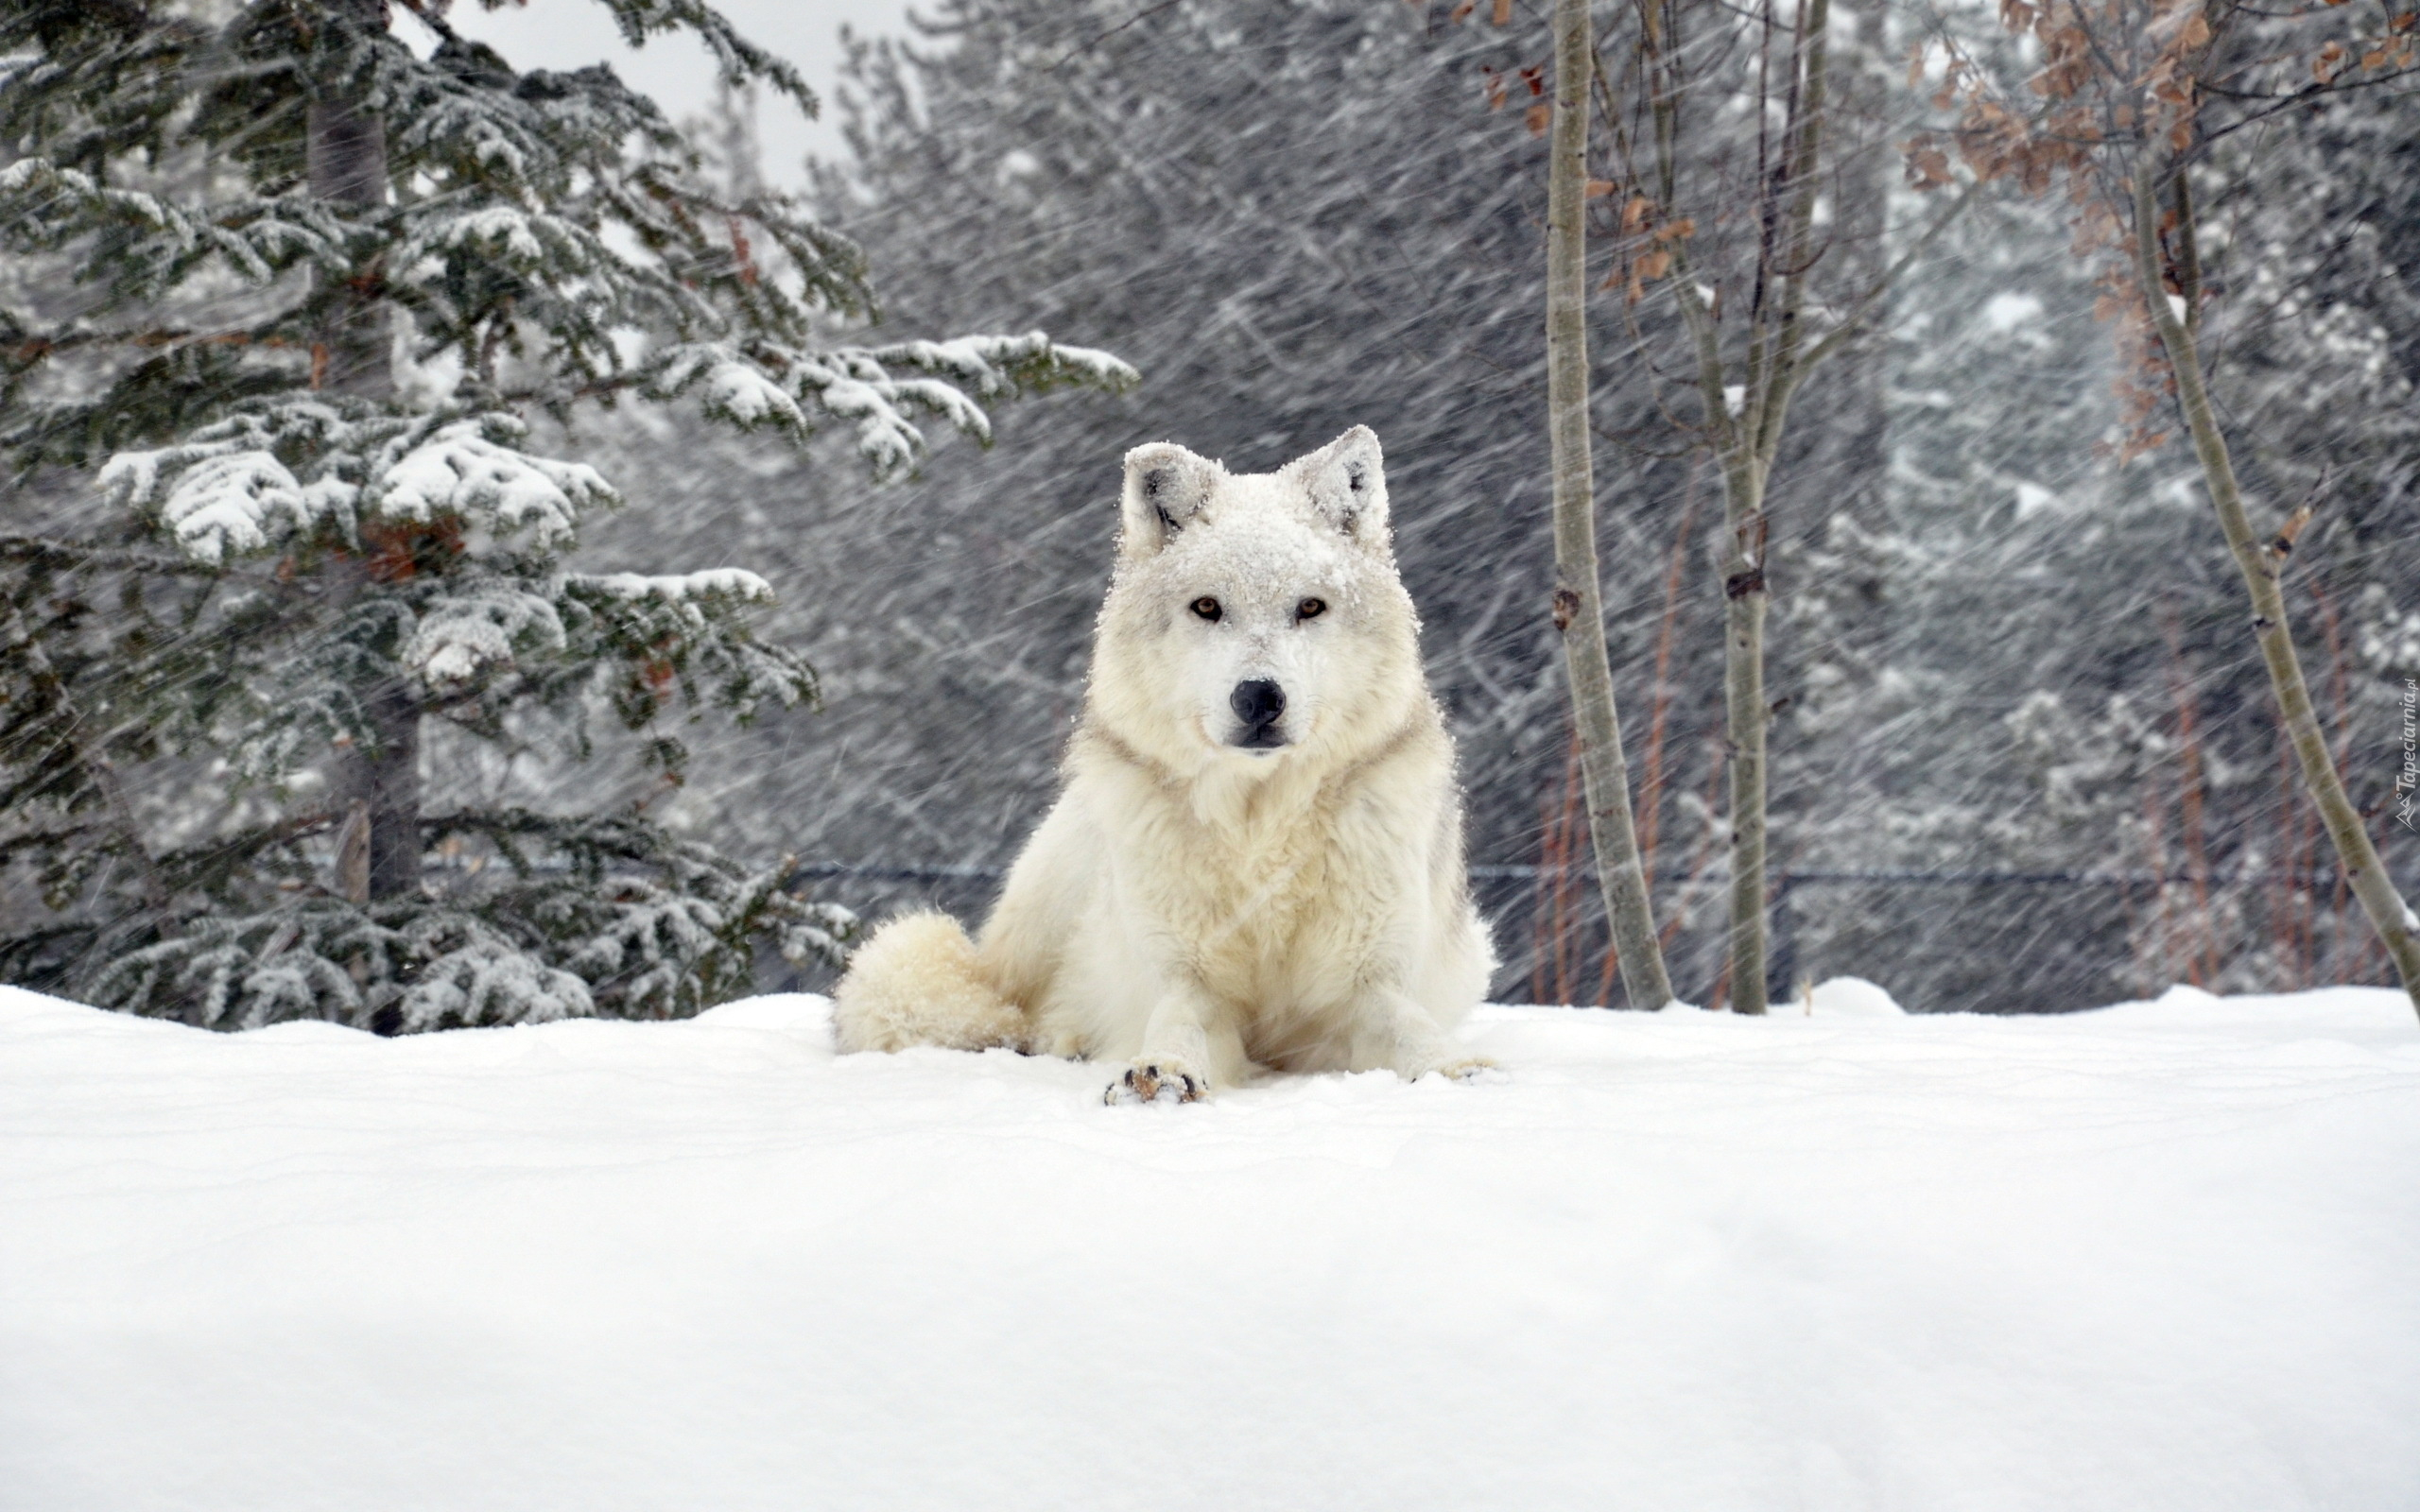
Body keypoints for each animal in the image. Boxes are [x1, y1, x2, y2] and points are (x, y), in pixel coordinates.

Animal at [841, 425, 1500, 1098]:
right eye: (1207, 608)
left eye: (1310, 607)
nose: (1259, 696)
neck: (1259, 829)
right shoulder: (1187, 978)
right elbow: (1177, 1024)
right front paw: (1161, 1073)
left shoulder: (1366, 983)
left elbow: (1413, 1028)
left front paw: (1456, 1070)